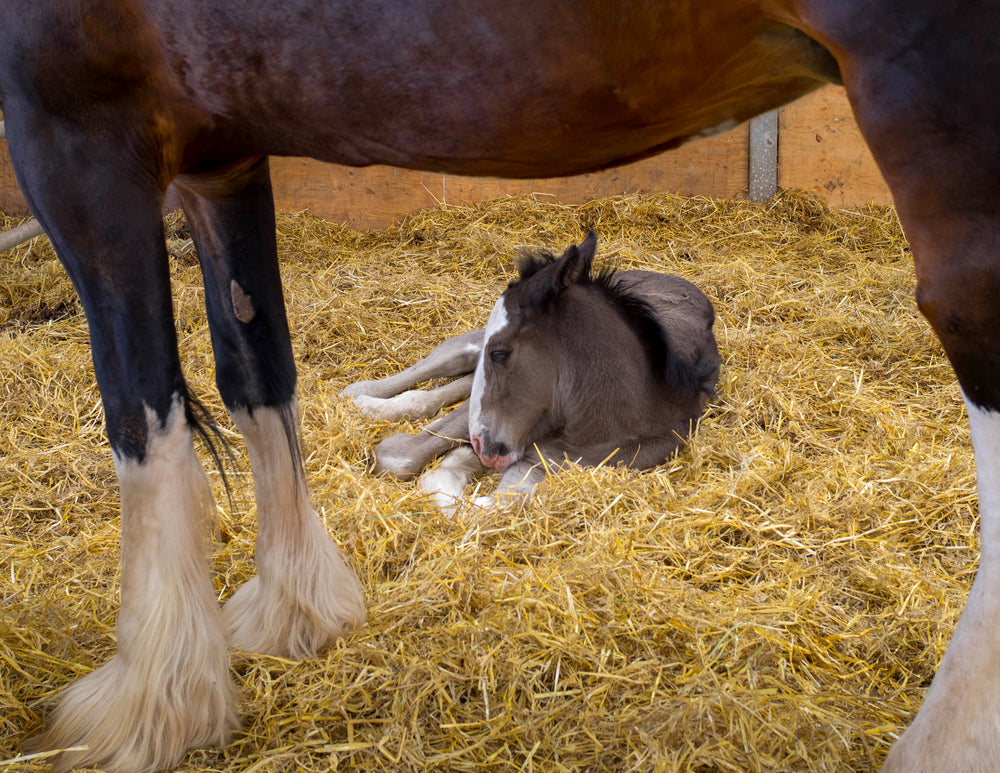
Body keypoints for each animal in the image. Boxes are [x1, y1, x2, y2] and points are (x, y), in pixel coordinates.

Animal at [344, 231, 720, 512]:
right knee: (458, 353)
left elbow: (497, 501)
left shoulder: (548, 459)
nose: (482, 446)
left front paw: (458, 463)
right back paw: (363, 395)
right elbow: (398, 455)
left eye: (500, 354)